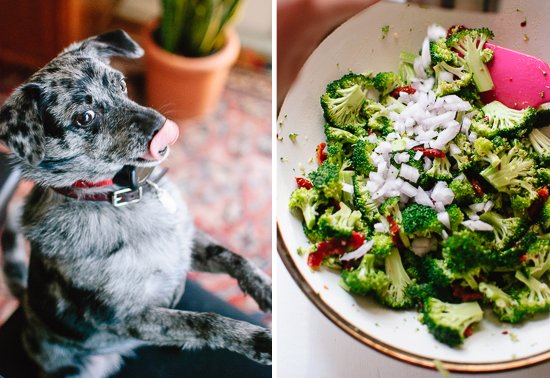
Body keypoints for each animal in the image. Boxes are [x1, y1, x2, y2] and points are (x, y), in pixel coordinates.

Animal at [0, 30, 272, 378]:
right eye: (84, 117)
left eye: (121, 84)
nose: (163, 126)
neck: (118, 197)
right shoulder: (130, 318)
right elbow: (201, 321)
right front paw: (254, 340)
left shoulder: (186, 246)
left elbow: (232, 256)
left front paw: (265, 288)